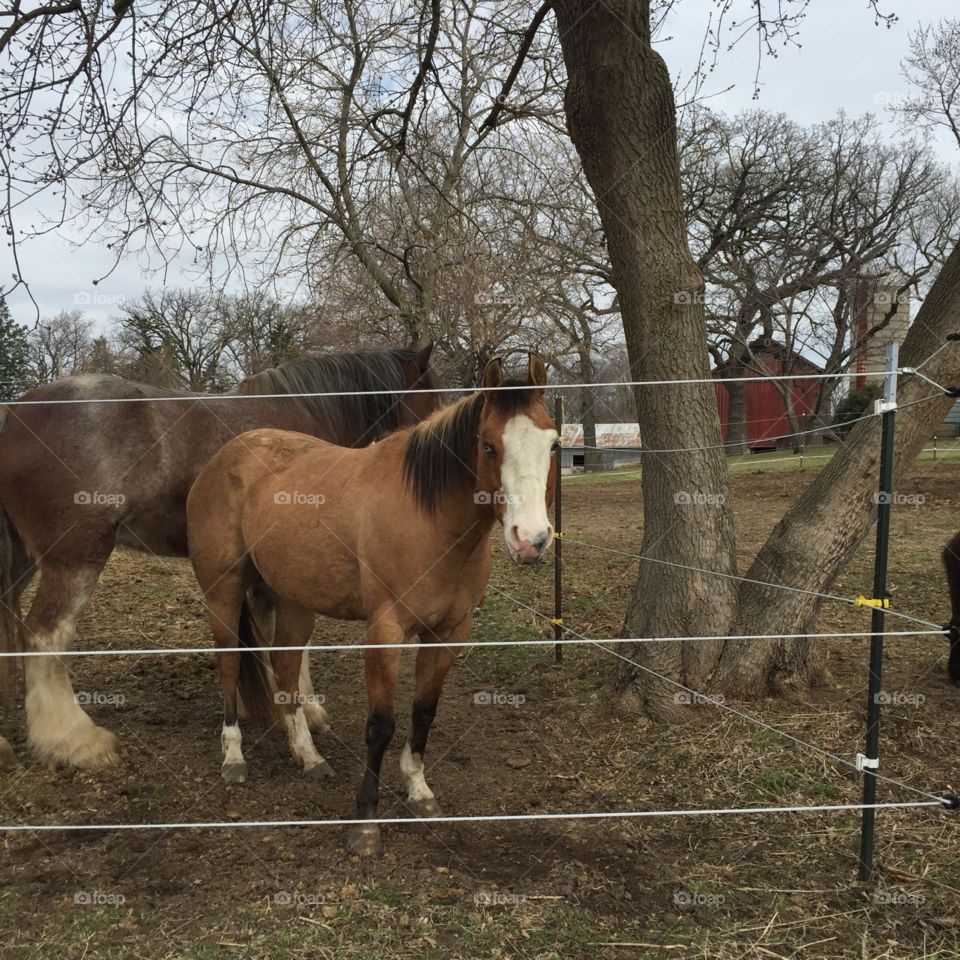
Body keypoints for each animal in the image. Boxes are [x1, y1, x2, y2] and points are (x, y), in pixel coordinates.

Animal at [0, 341, 439, 772]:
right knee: (45, 634)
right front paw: (304, 713)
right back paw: (75, 740)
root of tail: (14, 417)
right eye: (431, 398)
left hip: (23, 561)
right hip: (76, 558)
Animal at [186, 354, 557, 856]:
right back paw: (233, 756)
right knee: (228, 665)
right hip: (223, 593)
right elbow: (380, 724)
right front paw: (365, 822)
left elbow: (424, 712)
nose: (531, 539)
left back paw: (309, 757)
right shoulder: (385, 632)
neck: (428, 516)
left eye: (554, 443)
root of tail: (226, 455)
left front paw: (419, 791)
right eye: (488, 446)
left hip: (294, 602)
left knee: (285, 668)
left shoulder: (449, 632)